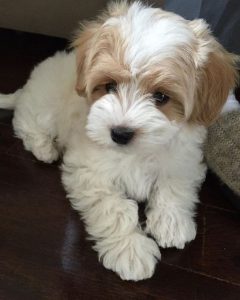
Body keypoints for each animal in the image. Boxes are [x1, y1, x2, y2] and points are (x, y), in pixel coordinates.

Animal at [0, 1, 237, 282]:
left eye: (161, 97)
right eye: (110, 86)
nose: (120, 133)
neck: (137, 153)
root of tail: (27, 87)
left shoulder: (183, 160)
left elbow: (174, 186)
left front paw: (171, 222)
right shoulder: (90, 173)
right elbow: (115, 209)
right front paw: (131, 251)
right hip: (44, 108)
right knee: (26, 125)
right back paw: (44, 148)